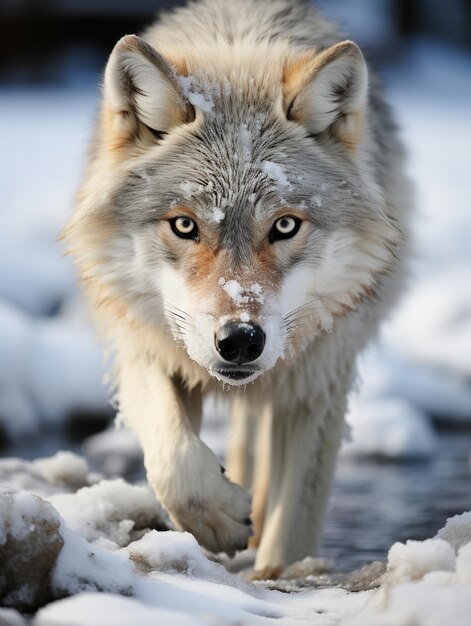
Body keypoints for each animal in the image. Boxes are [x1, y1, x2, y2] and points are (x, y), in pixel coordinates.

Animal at [62, 0, 410, 576]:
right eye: (185, 226)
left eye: (285, 226)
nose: (242, 340)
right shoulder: (143, 342)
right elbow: (174, 460)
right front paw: (221, 518)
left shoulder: (321, 379)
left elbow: (294, 521)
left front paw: (276, 571)